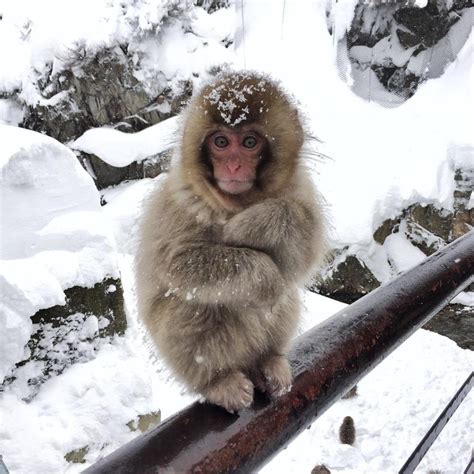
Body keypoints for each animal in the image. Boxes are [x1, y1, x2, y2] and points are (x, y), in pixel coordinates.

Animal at [133, 71, 326, 412]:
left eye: (249, 142)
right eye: (221, 142)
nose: (234, 165)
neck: (235, 204)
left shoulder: (298, 187)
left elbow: (306, 245)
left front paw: (251, 225)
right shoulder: (181, 203)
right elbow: (176, 264)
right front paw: (265, 278)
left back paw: (269, 360)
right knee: (190, 304)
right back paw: (217, 381)